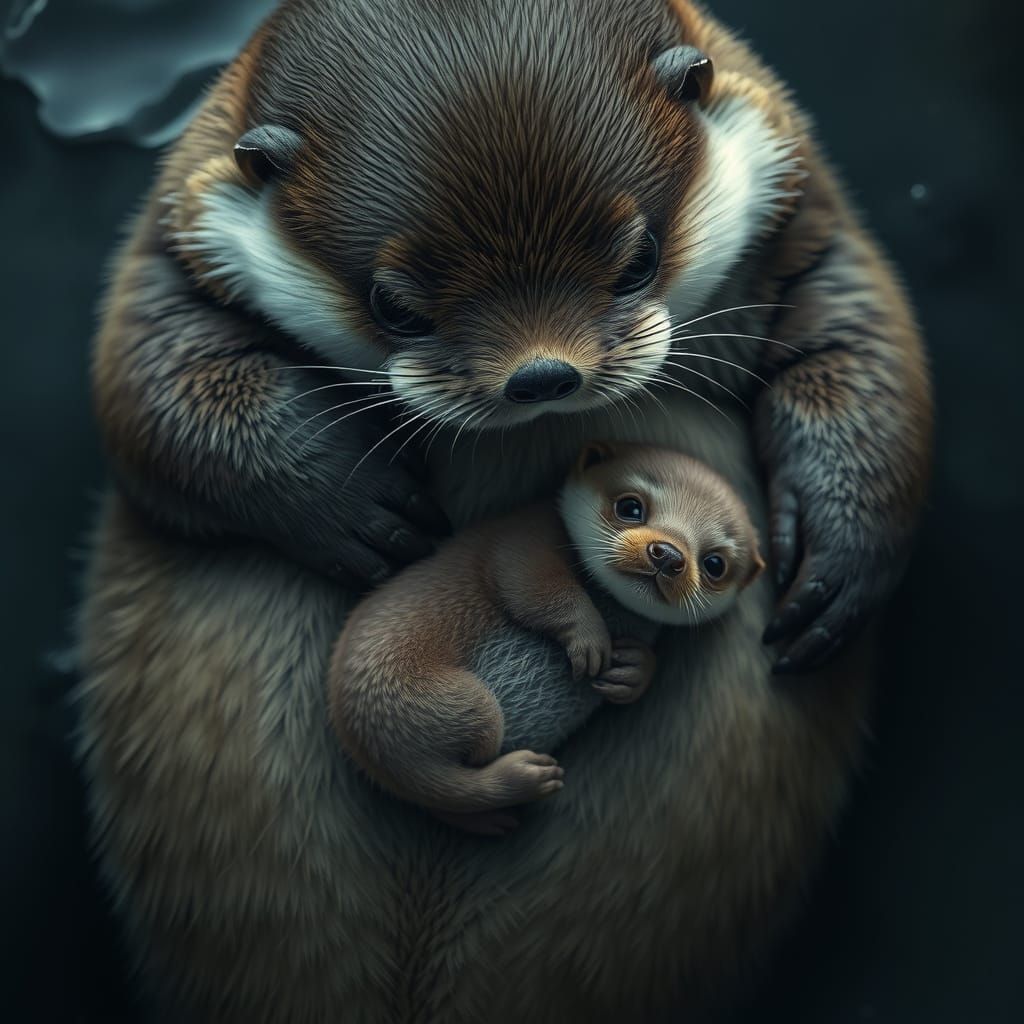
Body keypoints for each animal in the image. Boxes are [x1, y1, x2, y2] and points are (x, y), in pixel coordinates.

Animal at [330, 442, 764, 835]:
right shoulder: (522, 538)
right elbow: (536, 586)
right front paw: (591, 639)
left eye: (715, 563)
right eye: (630, 507)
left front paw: (634, 670)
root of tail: (355, 735)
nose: (668, 554)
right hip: (437, 696)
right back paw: (525, 778)